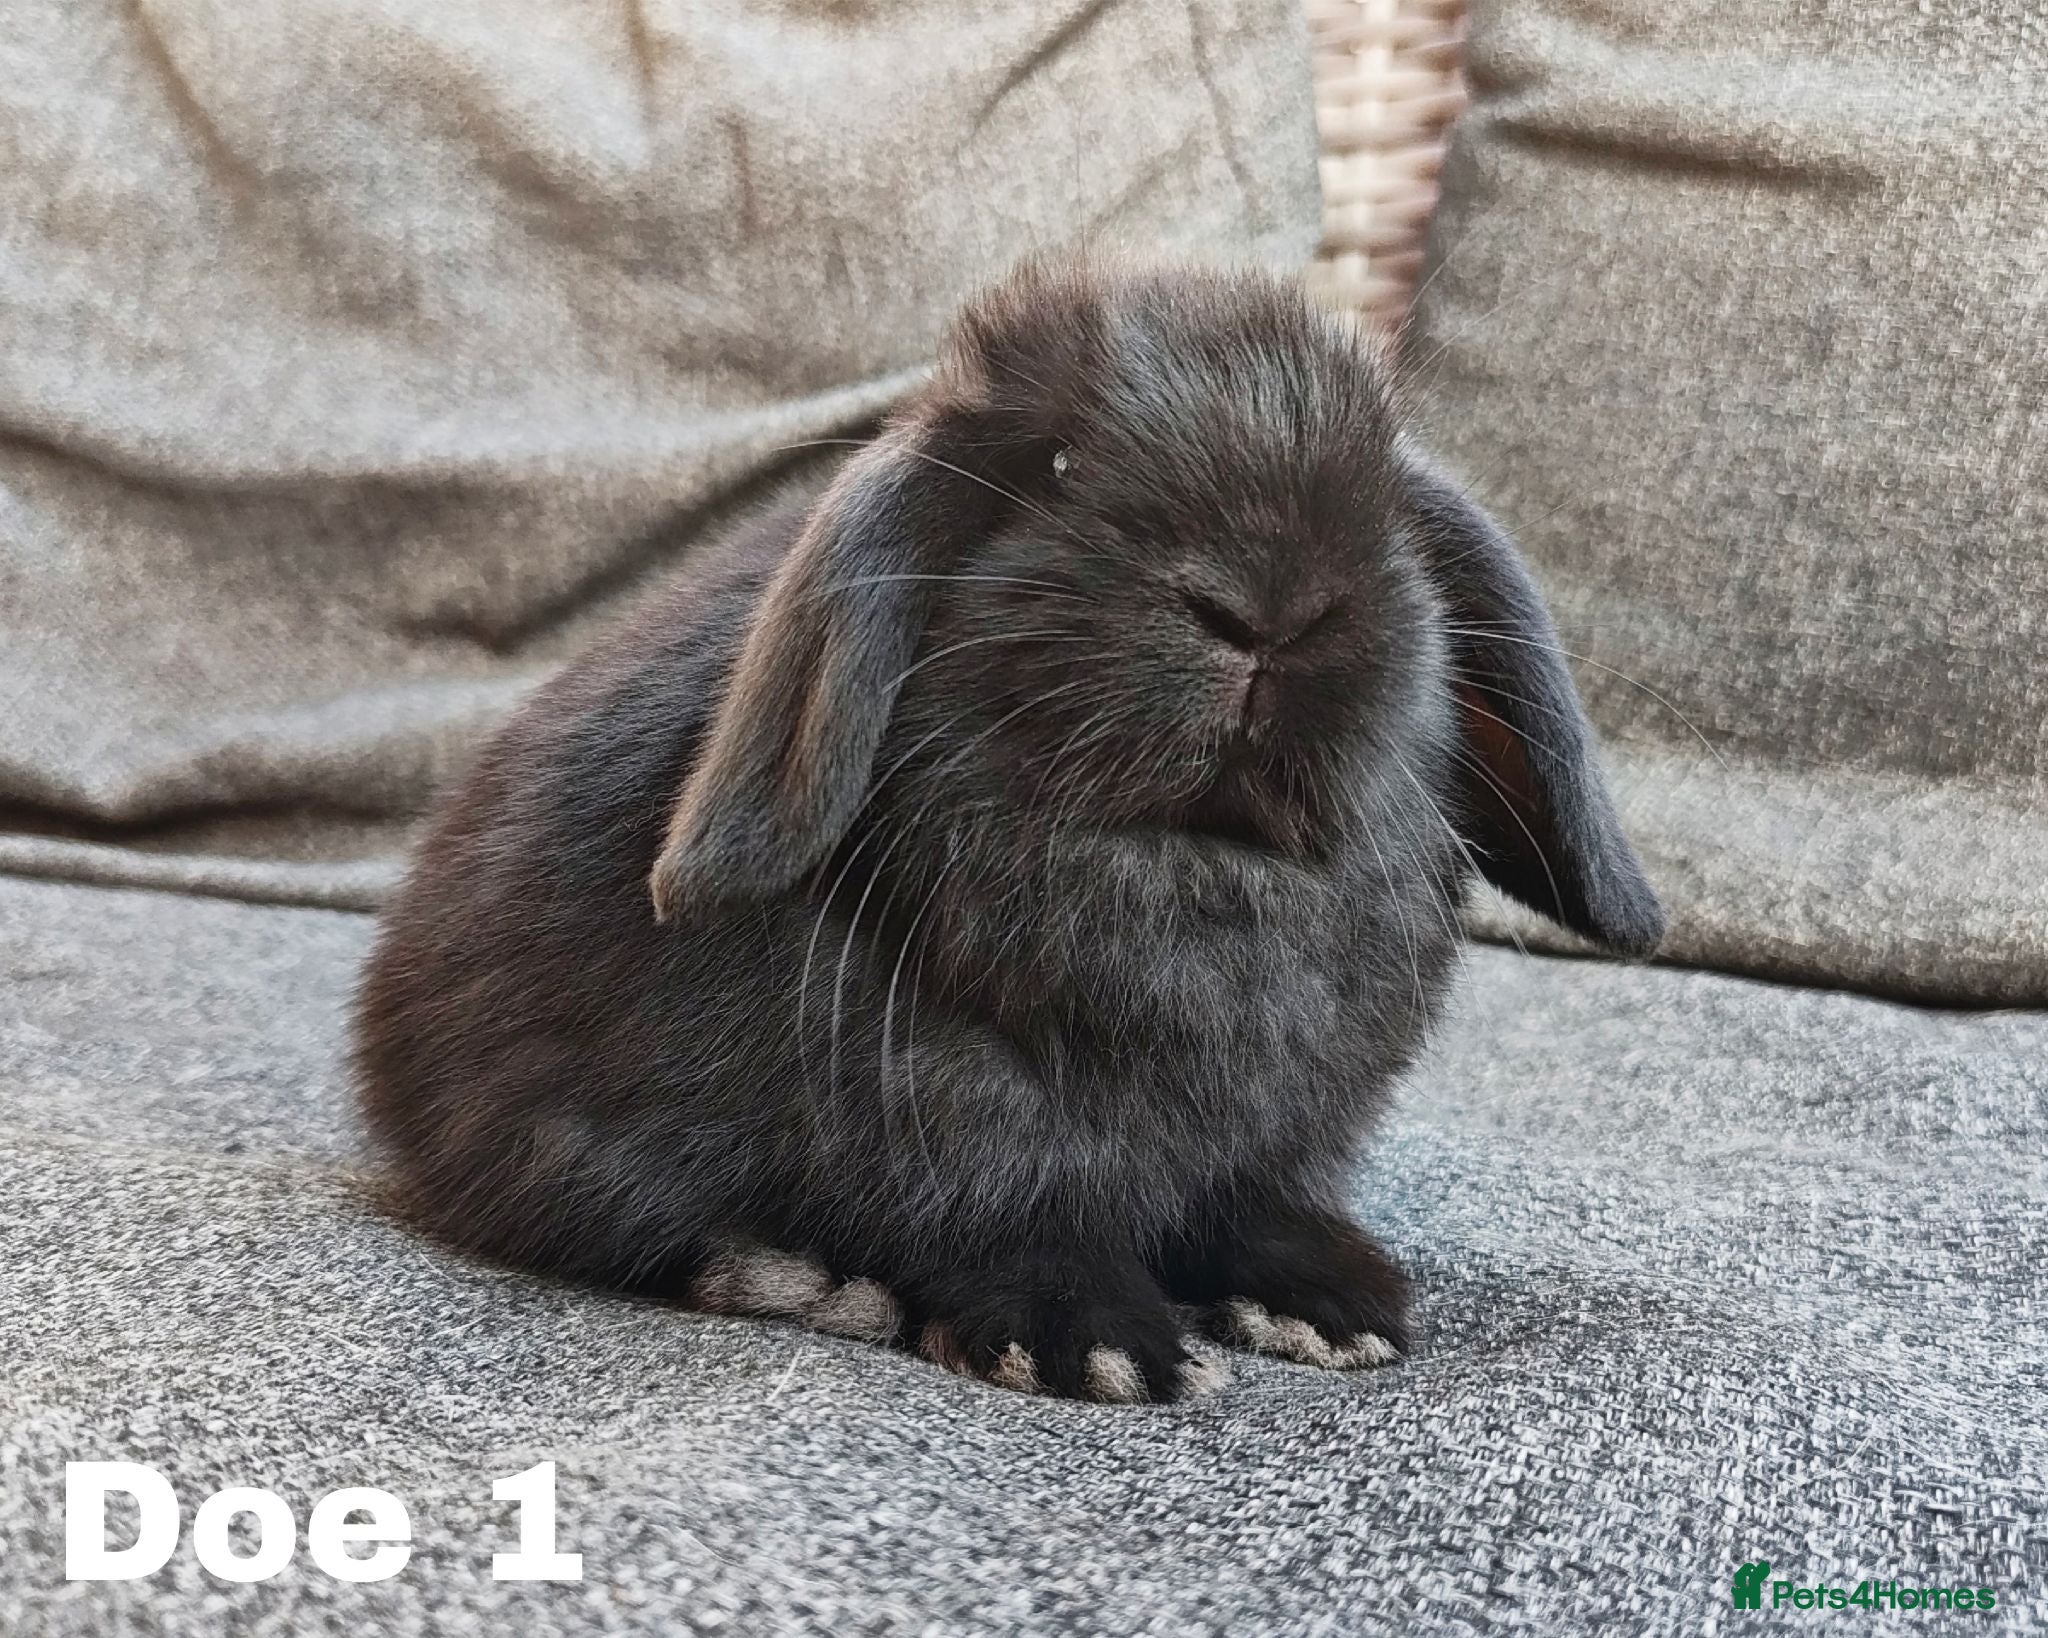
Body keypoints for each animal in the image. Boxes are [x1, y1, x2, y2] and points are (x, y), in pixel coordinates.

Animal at [354, 258, 1663, 1404]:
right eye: (1055, 464)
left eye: (1380, 505)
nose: (1272, 604)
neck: (1187, 862)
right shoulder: (947, 1121)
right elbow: (1006, 1215)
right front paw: (1097, 1349)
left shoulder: (1281, 1130)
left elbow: (1253, 1205)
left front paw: (1330, 1307)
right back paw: (803, 1281)